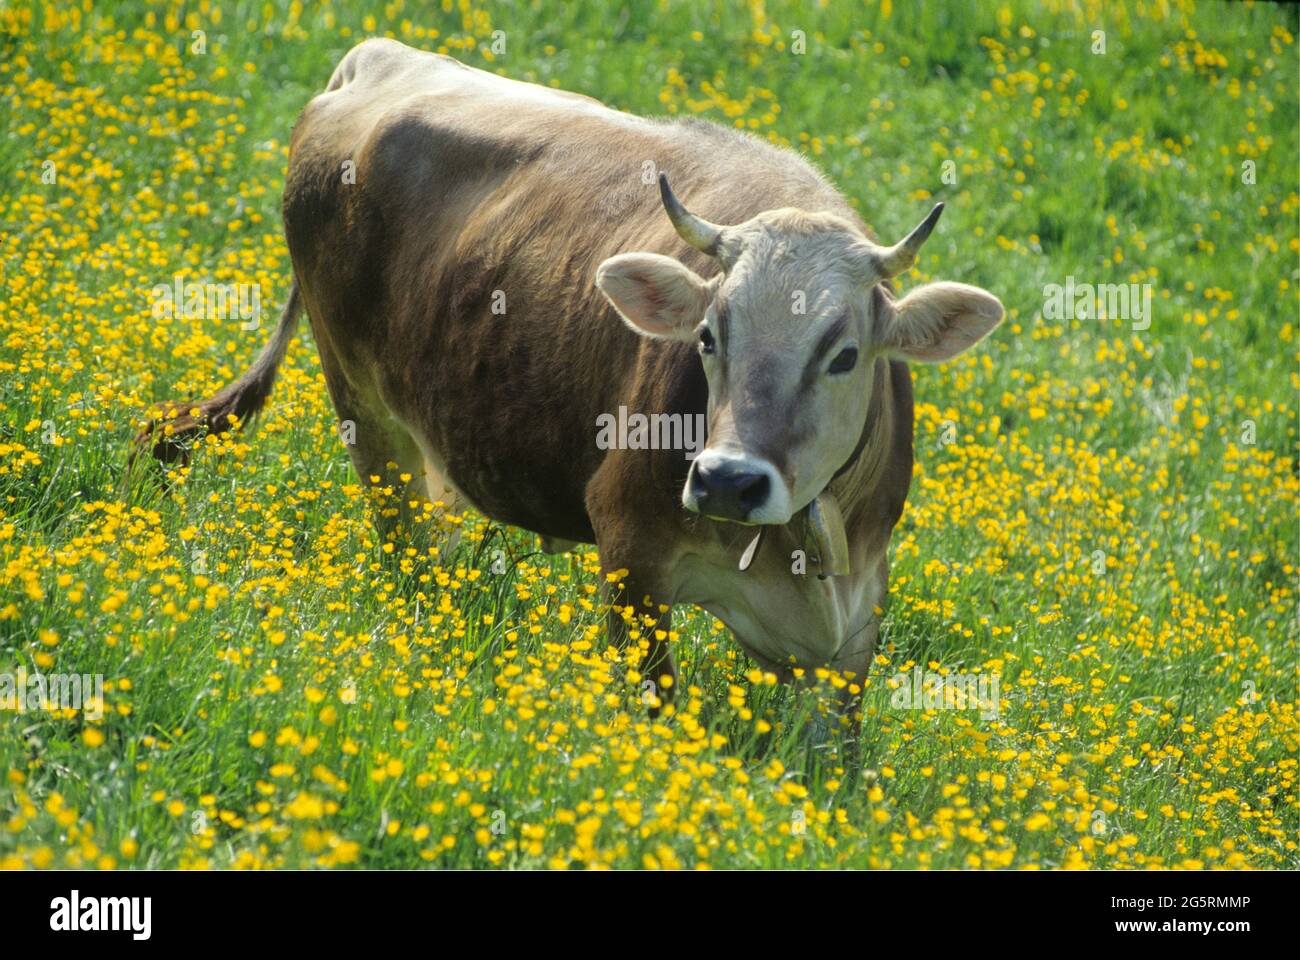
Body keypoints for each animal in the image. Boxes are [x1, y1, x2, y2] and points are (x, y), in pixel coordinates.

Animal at [137, 39, 1004, 722]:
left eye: (845, 354)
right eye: (707, 336)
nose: (727, 480)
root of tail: (380, 58)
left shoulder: (857, 626)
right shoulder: (627, 551)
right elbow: (653, 708)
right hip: (366, 411)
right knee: (405, 549)